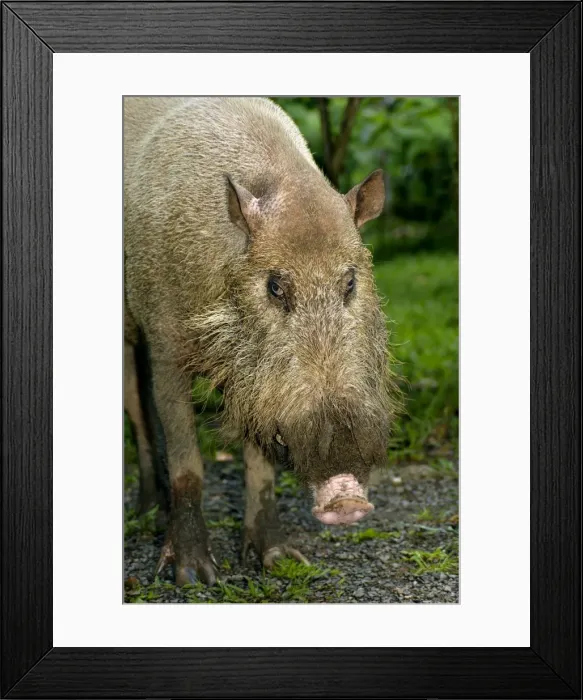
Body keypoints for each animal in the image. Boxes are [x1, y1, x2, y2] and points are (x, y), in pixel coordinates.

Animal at [124, 97, 397, 586]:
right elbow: (187, 461)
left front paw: (281, 561)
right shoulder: (164, 339)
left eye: (350, 281)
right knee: (138, 414)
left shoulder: (256, 387)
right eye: (274, 286)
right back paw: (146, 512)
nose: (346, 500)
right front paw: (194, 577)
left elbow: (262, 467)